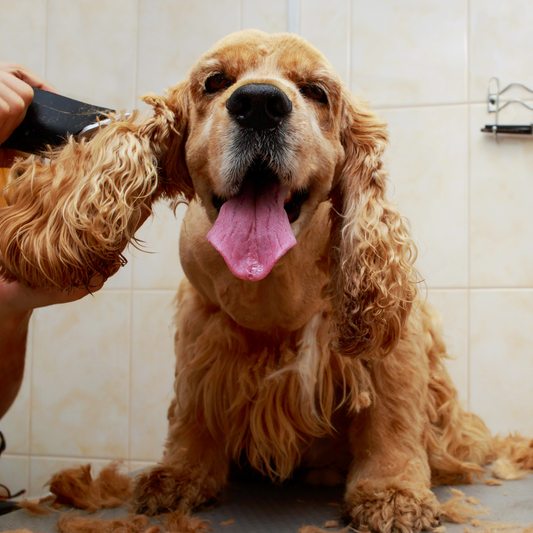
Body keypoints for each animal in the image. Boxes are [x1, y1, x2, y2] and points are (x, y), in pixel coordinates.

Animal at [2, 30, 494, 532]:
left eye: (316, 91)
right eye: (215, 82)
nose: (259, 103)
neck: (270, 286)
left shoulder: (391, 344)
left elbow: (391, 416)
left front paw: (392, 490)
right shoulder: (201, 327)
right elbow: (192, 407)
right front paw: (181, 473)